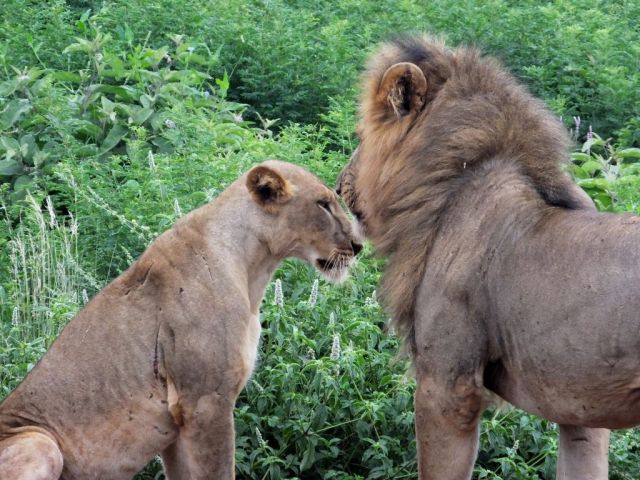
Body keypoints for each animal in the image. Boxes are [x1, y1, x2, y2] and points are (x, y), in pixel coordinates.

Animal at [0, 160, 361, 480]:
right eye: (324, 205)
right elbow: (219, 472)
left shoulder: (176, 421)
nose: (358, 245)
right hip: (41, 442)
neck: (253, 269)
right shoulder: (205, 401)